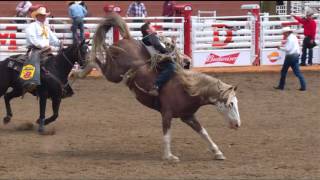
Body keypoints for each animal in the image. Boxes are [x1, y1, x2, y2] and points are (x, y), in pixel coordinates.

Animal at [71, 12, 241, 162]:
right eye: (230, 104)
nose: (237, 125)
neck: (187, 89)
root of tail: (127, 38)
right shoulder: (166, 114)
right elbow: (167, 135)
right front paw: (169, 156)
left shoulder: (188, 116)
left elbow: (204, 133)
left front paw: (218, 152)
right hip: (113, 73)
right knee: (94, 61)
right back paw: (73, 76)